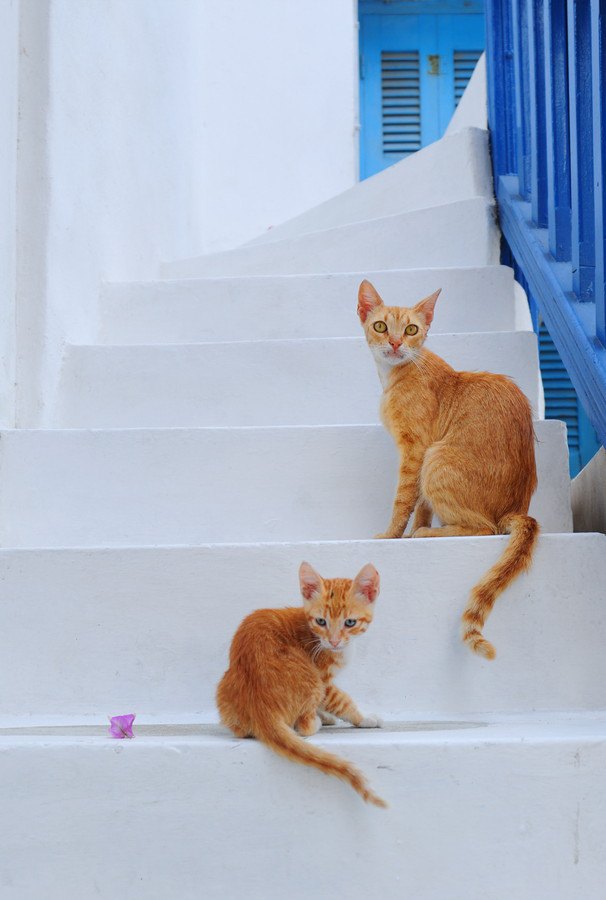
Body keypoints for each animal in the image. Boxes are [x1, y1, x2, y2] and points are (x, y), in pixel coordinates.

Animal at [218, 564, 388, 808]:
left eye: (350, 623)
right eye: (321, 621)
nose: (334, 641)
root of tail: (260, 707)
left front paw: (328, 715)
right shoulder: (323, 680)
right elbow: (341, 700)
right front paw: (364, 718)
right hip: (312, 681)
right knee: (303, 727)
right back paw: (313, 722)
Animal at [358, 282, 540, 660]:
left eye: (411, 330)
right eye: (381, 326)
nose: (394, 344)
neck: (394, 376)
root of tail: (517, 508)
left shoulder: (416, 451)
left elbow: (403, 501)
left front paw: (394, 535)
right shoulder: (419, 456)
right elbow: (421, 505)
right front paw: (414, 528)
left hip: (437, 460)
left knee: (486, 528)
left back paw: (431, 534)